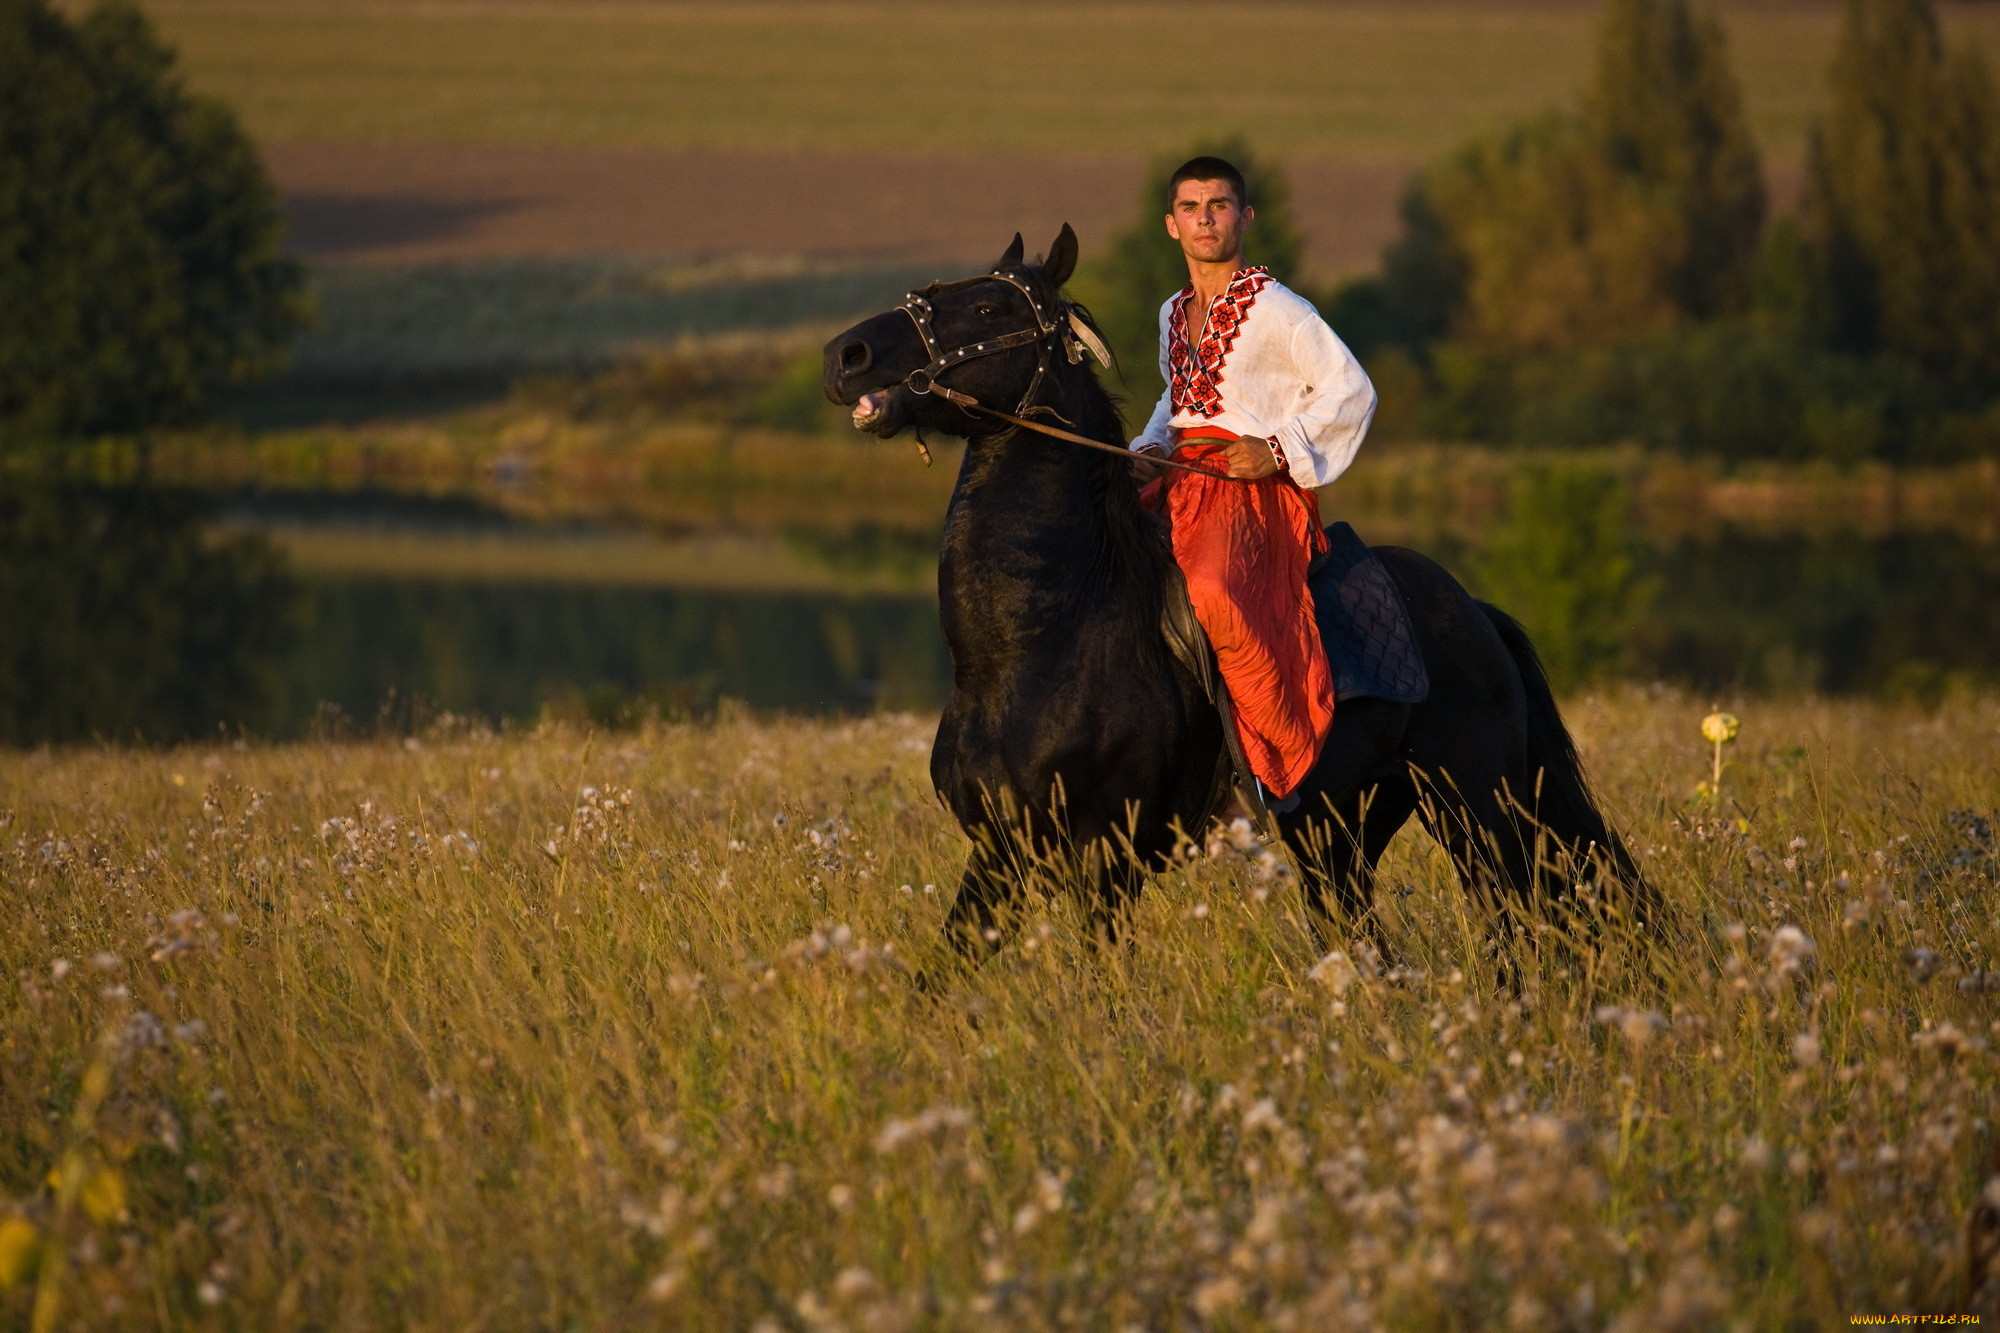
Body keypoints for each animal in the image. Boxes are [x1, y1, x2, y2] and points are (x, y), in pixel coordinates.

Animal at [816, 223, 1640, 960]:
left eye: (991, 310)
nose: (843, 356)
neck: (1038, 642)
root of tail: (1475, 612)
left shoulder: (1106, 860)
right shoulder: (998, 851)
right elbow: (942, 975)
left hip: (1480, 810)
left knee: (1522, 926)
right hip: (1341, 830)